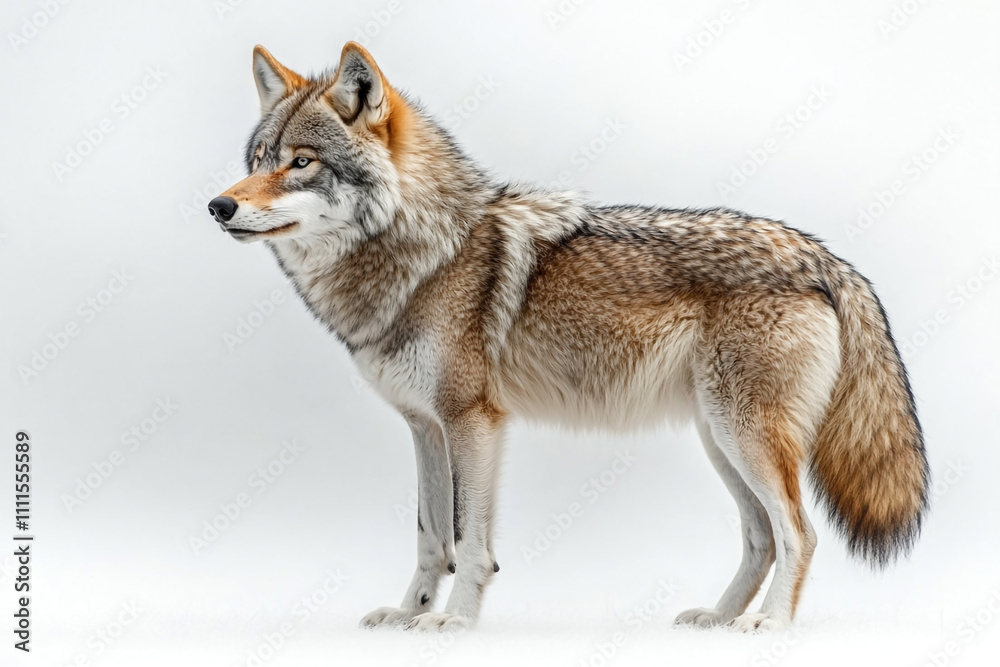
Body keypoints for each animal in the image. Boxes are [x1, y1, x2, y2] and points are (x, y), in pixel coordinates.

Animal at [207, 42, 929, 632]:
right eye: (258, 160)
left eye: (302, 162)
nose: (219, 206)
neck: (424, 255)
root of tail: (823, 256)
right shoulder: (425, 426)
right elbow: (430, 537)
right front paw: (409, 614)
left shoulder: (473, 421)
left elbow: (471, 543)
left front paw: (455, 622)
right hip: (720, 438)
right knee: (762, 538)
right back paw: (717, 618)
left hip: (744, 435)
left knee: (799, 534)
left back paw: (769, 625)